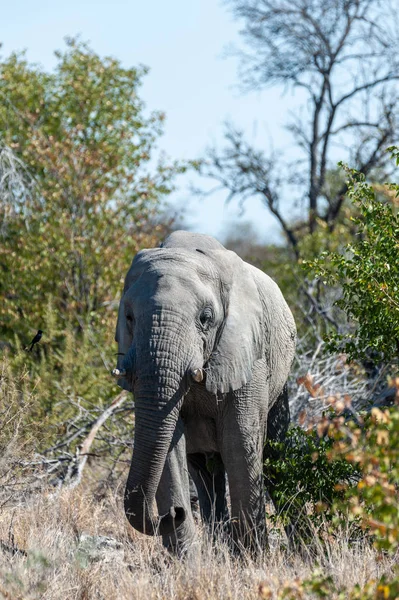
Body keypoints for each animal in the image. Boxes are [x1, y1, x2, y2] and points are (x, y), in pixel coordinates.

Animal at [112, 231, 296, 552]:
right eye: (130, 317)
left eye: (205, 318)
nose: (176, 512)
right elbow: (167, 447)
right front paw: (186, 561)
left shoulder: (247, 353)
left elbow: (240, 442)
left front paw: (254, 559)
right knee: (205, 471)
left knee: (274, 455)